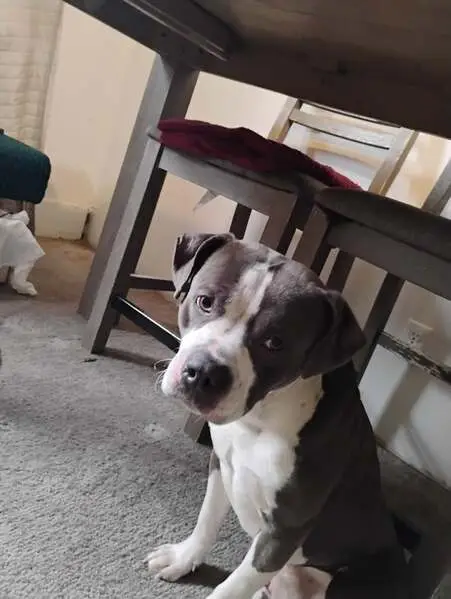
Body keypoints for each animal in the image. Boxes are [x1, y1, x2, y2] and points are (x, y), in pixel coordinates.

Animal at [146, 233, 409, 599]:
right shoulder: (221, 465)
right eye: (205, 302)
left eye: (275, 342)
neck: (261, 420)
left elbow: (233, 585)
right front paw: (184, 558)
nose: (203, 373)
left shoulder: (284, 530)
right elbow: (206, 521)